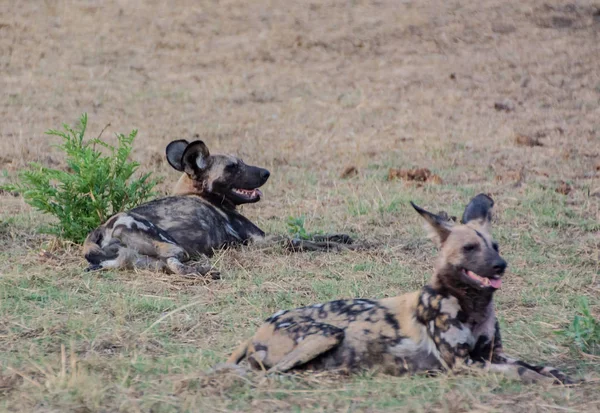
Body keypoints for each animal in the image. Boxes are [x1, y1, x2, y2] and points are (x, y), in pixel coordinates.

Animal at [85, 139, 356, 276]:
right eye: (232, 167)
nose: (266, 173)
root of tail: (102, 228)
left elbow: (314, 234)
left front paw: (344, 237)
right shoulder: (260, 241)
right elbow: (306, 241)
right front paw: (348, 247)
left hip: (136, 258)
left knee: (164, 266)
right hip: (172, 245)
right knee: (174, 265)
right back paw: (206, 270)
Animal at [226, 193, 576, 384]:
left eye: (496, 246)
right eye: (469, 248)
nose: (500, 265)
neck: (472, 307)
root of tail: (258, 329)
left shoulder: (493, 354)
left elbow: (540, 366)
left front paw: (565, 377)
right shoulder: (462, 364)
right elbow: (523, 373)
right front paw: (542, 381)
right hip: (327, 334)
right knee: (270, 373)